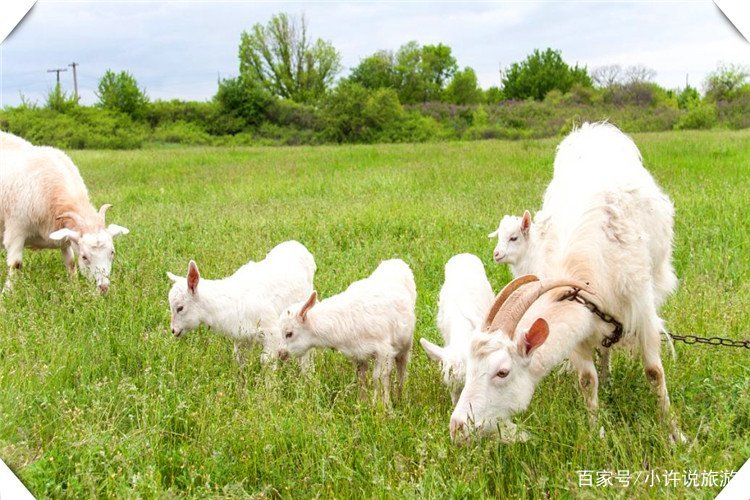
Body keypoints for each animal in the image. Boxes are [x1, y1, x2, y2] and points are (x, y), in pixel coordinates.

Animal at [0, 135, 129, 294]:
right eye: (84, 257)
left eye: (112, 252)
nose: (103, 288)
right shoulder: (16, 231)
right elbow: (15, 264)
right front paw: (7, 293)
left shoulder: (65, 237)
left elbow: (71, 263)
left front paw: (74, 287)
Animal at [167, 240, 318, 370]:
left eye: (180, 308)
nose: (174, 331)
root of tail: (296, 244)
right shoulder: (241, 338)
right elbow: (240, 360)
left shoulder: (272, 332)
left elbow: (267, 362)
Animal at [276, 260, 418, 404]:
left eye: (289, 333)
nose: (280, 354)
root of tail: (396, 262)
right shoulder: (358, 353)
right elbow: (361, 376)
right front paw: (362, 402)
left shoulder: (384, 351)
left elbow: (378, 377)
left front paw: (383, 405)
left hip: (406, 341)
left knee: (402, 367)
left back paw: (401, 397)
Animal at [450, 123, 684, 444]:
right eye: (471, 368)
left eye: (502, 372)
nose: (457, 426)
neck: (583, 278)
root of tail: (595, 128)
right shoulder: (582, 329)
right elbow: (587, 380)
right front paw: (595, 430)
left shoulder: (642, 312)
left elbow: (654, 372)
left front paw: (673, 431)